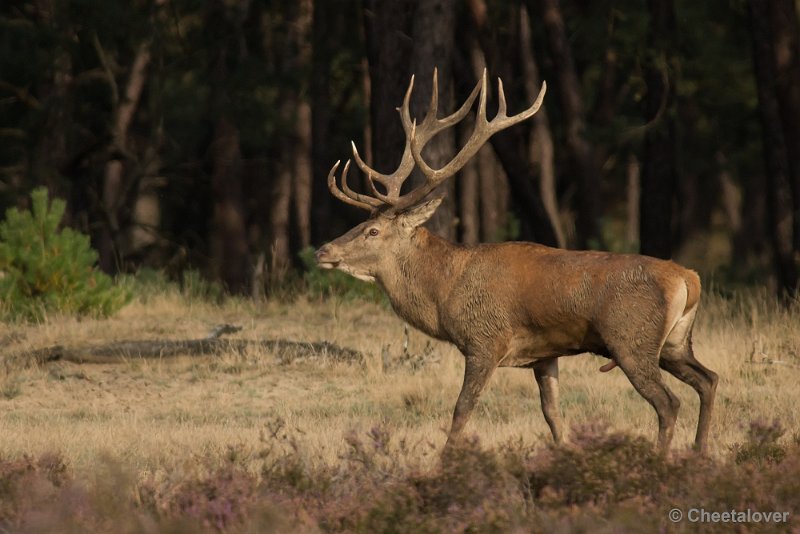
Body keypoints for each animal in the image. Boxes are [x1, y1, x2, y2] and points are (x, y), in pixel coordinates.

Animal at [312, 66, 720, 452]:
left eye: (372, 231)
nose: (323, 251)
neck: (445, 292)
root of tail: (689, 279)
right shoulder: (545, 354)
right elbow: (553, 415)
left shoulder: (484, 340)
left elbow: (461, 411)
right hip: (675, 342)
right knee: (709, 379)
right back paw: (699, 452)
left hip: (631, 339)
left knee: (669, 403)